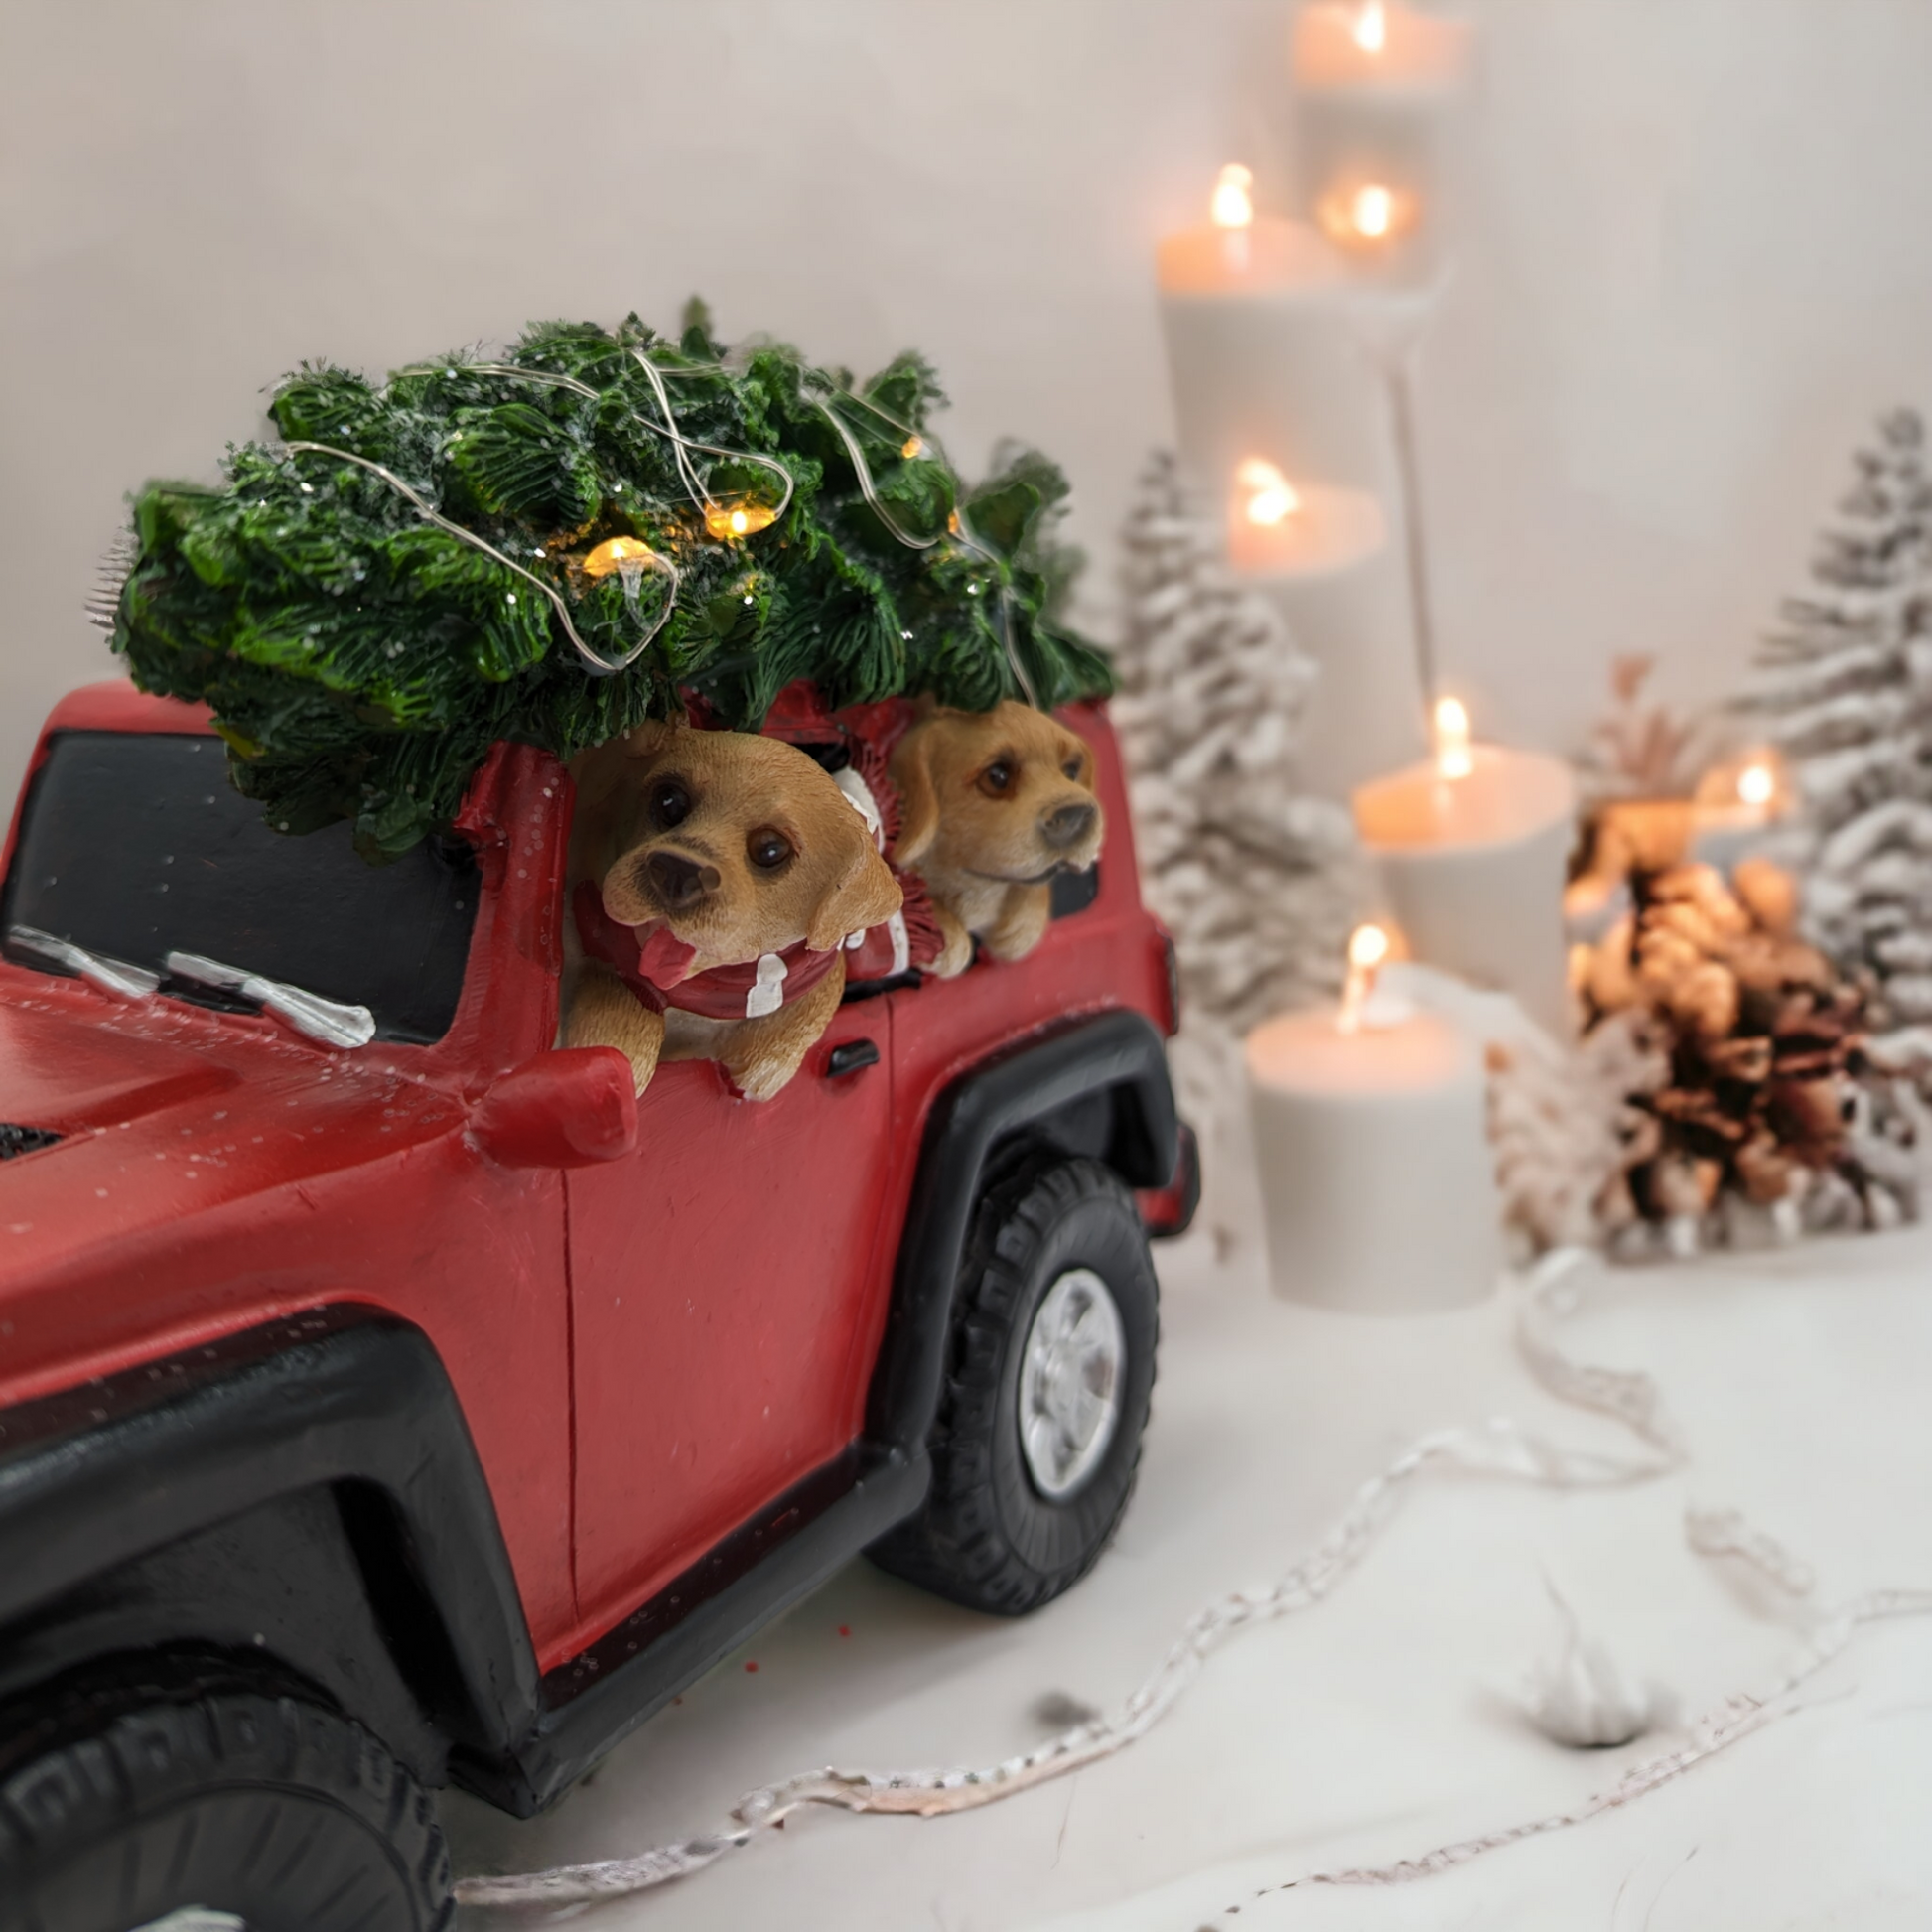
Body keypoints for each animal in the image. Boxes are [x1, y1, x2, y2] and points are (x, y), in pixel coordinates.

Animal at [564, 722, 899, 1105]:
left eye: (771, 849)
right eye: (669, 801)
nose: (678, 870)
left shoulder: (819, 966)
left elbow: (820, 997)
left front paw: (763, 1067)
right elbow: (617, 1002)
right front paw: (610, 1070)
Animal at [889, 699, 1105, 981]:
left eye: (1071, 770)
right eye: (997, 777)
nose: (1076, 816)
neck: (977, 887)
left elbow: (1029, 906)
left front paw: (1017, 930)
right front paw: (944, 945)